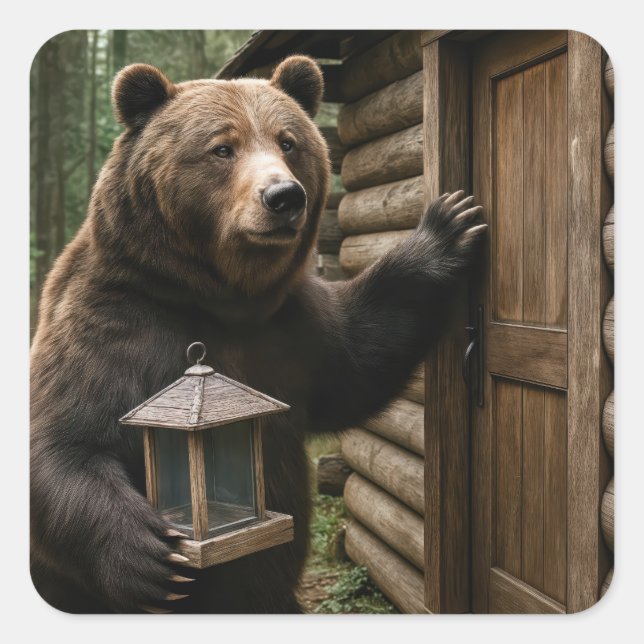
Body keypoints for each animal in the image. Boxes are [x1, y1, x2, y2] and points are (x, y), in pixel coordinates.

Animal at [30, 55, 486, 613]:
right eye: (222, 147)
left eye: (287, 141)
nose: (284, 196)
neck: (223, 299)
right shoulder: (117, 324)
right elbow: (65, 441)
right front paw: (153, 553)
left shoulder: (293, 330)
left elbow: (361, 357)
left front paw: (449, 226)